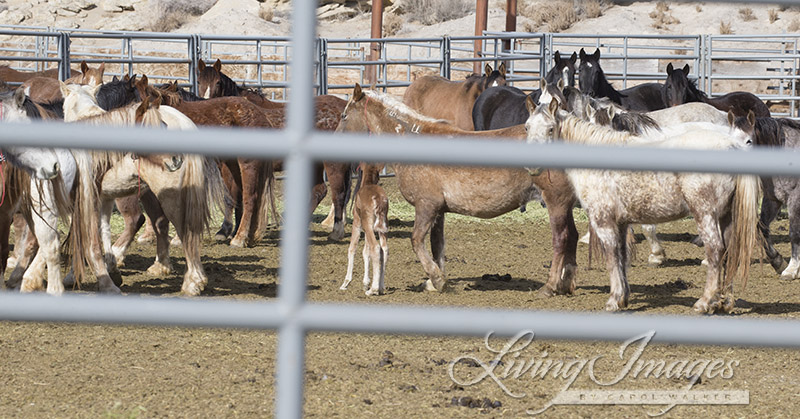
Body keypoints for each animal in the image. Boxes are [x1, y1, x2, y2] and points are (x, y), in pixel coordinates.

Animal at [334, 84, 580, 296]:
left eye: (344, 115)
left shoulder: (426, 206)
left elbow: (416, 241)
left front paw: (437, 279)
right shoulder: (438, 210)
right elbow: (437, 245)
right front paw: (433, 281)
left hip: (556, 201)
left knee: (561, 239)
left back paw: (550, 286)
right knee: (573, 237)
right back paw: (566, 284)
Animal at [520, 99, 760, 316]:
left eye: (550, 129)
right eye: (527, 127)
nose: (531, 167)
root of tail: (732, 146)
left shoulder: (604, 222)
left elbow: (611, 258)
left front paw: (613, 300)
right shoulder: (622, 223)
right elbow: (622, 257)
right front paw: (623, 297)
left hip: (705, 215)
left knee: (715, 251)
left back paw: (705, 301)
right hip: (726, 217)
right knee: (729, 252)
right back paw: (724, 302)